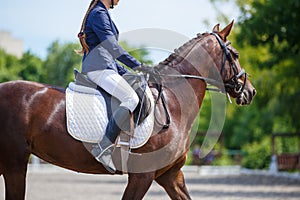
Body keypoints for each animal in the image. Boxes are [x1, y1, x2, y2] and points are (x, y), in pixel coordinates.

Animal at [0, 21, 255, 199]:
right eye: (235, 55)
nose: (250, 91)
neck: (173, 100)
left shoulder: (171, 175)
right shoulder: (142, 176)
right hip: (14, 164)